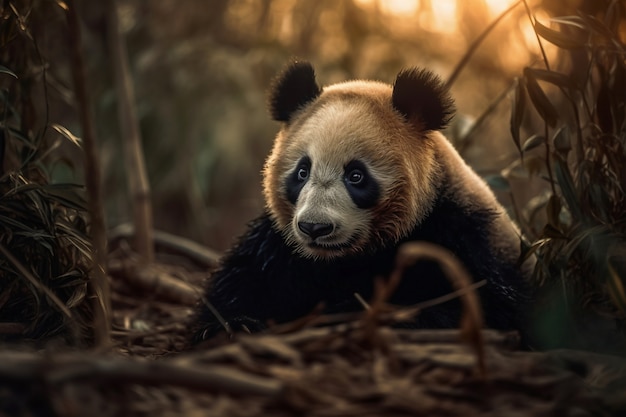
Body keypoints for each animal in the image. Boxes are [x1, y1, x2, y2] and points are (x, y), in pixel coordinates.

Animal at [189, 61, 528, 342]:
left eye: (356, 176)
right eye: (302, 171)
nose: (315, 227)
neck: (346, 257)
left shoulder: (458, 236)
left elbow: (479, 307)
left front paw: (347, 311)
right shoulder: (280, 243)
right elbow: (245, 277)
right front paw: (230, 326)